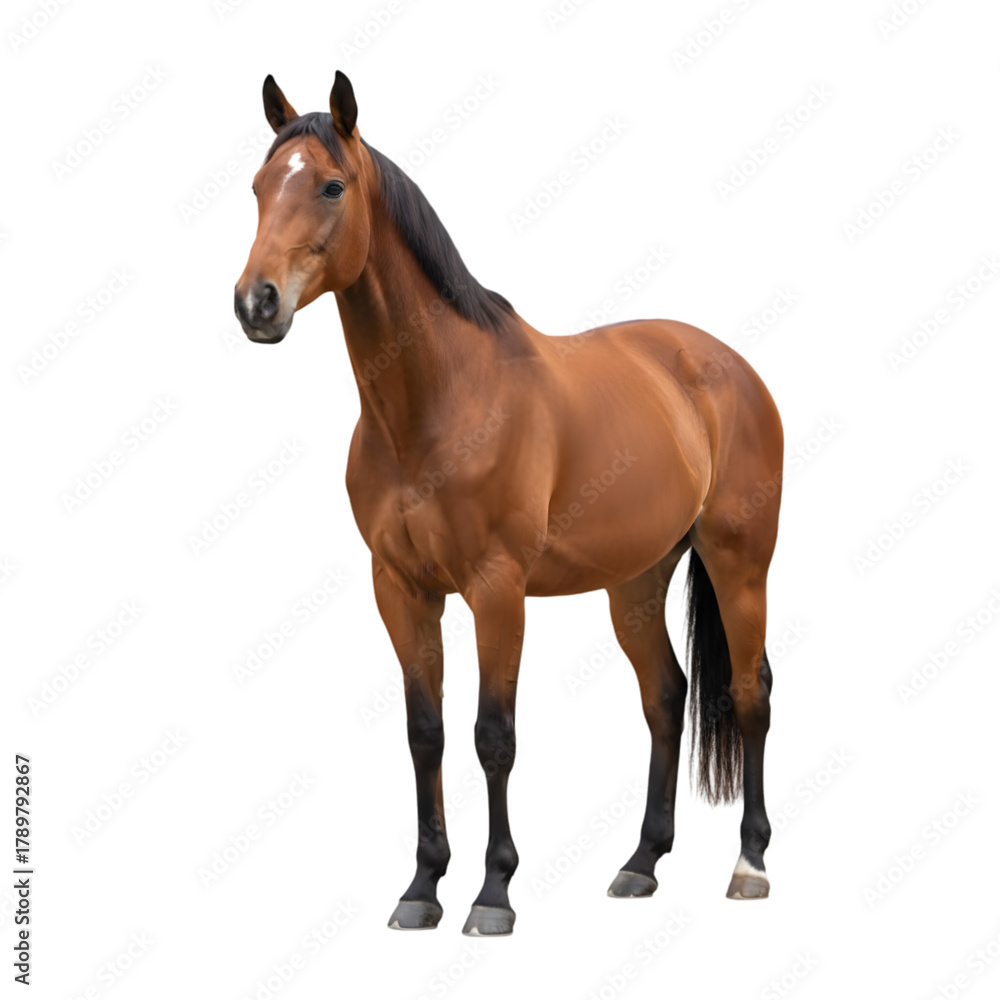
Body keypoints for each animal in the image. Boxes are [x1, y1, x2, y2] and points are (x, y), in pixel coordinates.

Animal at [234, 71, 783, 936]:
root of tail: (724, 364)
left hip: (740, 562)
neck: (439, 402)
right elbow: (425, 733)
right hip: (636, 579)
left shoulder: (497, 590)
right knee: (666, 697)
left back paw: (750, 864)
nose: (256, 303)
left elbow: (494, 735)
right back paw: (640, 863)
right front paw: (422, 887)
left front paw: (493, 893)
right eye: (259, 187)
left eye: (330, 186)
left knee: (751, 693)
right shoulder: (401, 589)